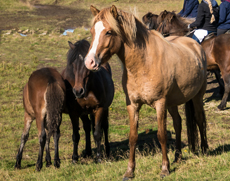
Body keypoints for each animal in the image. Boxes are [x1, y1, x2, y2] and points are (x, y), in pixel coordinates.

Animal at [84, 4, 208, 179]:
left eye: (108, 32)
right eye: (92, 31)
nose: (89, 62)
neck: (144, 63)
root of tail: (196, 45)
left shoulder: (160, 104)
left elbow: (162, 135)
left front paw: (164, 169)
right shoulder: (133, 105)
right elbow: (133, 137)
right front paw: (130, 171)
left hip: (196, 96)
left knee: (199, 119)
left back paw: (204, 149)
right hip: (173, 102)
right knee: (178, 123)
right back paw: (177, 157)